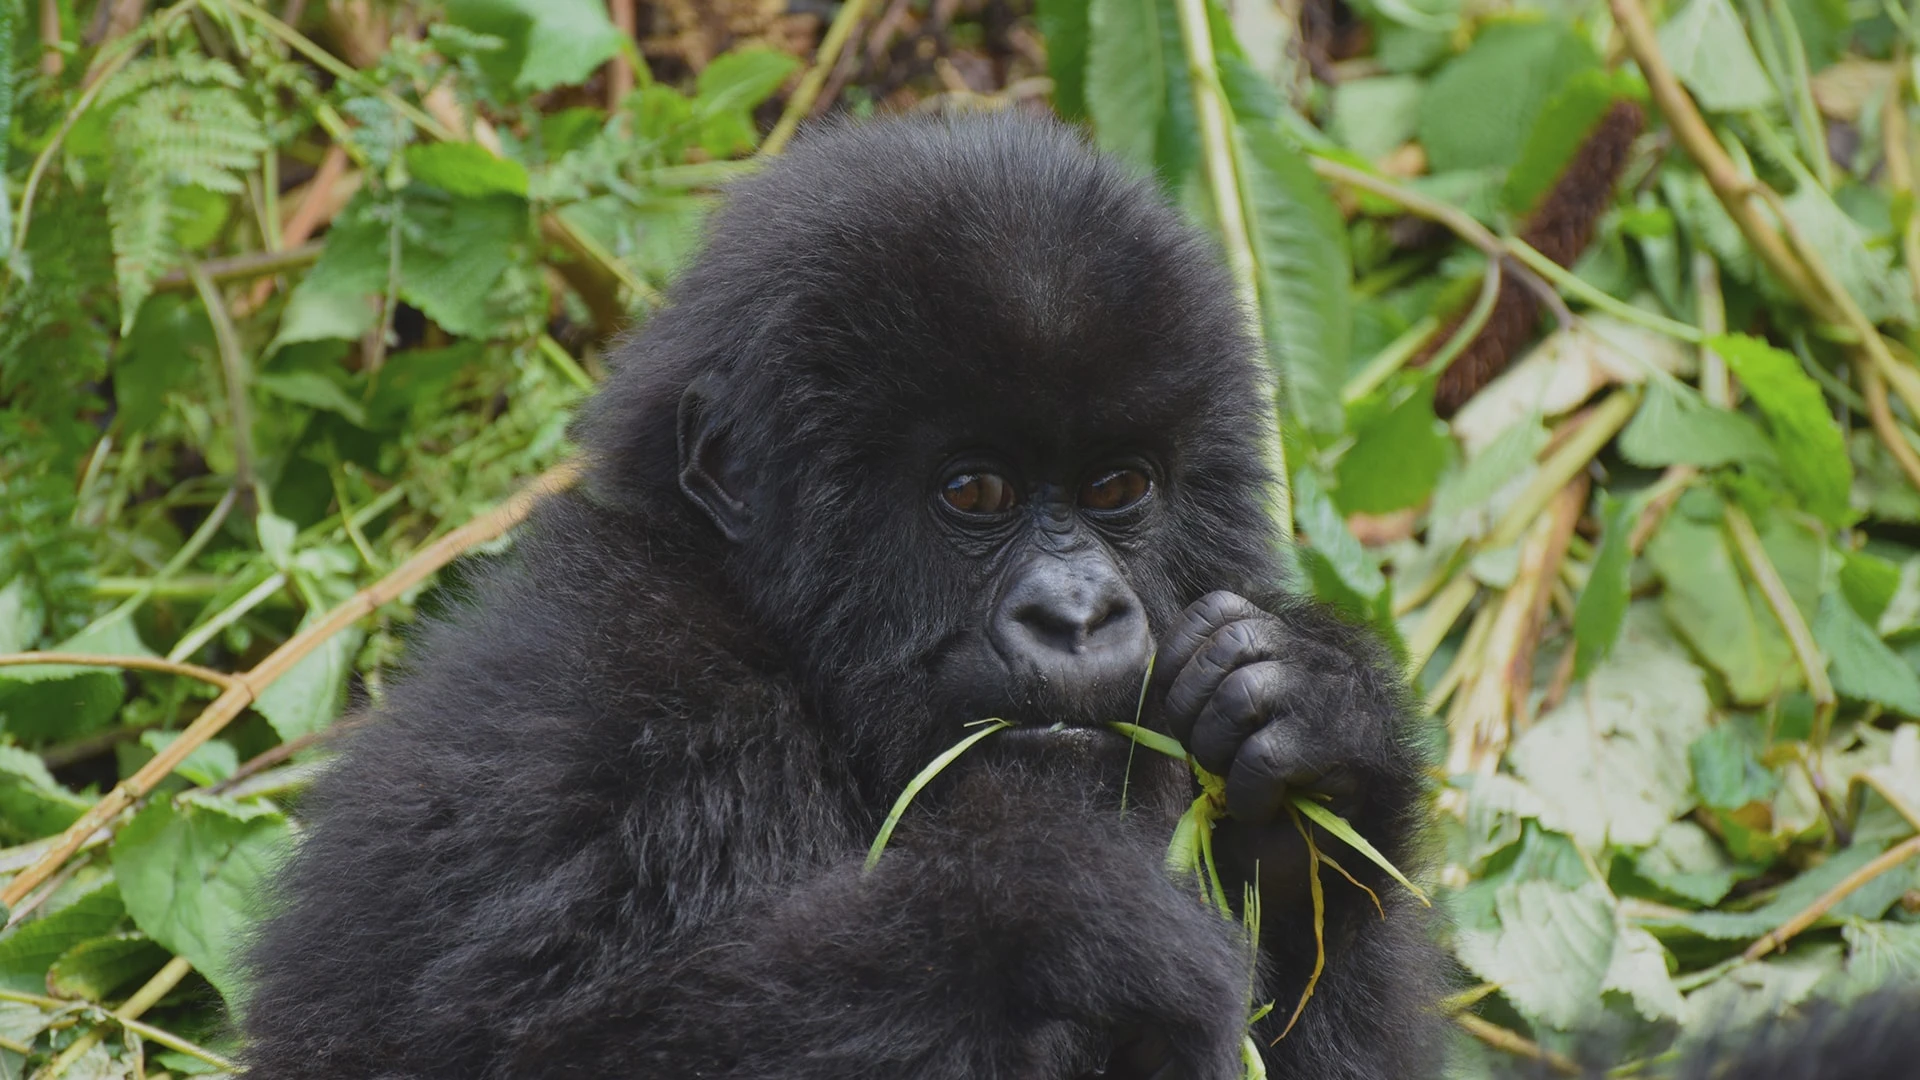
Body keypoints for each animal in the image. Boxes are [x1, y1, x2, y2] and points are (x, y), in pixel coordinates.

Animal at [240, 113, 1443, 1068]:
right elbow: (528, 1046)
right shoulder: (609, 716)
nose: (1079, 615)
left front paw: (1318, 732)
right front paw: (1056, 921)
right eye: (974, 491)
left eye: (1116, 487)